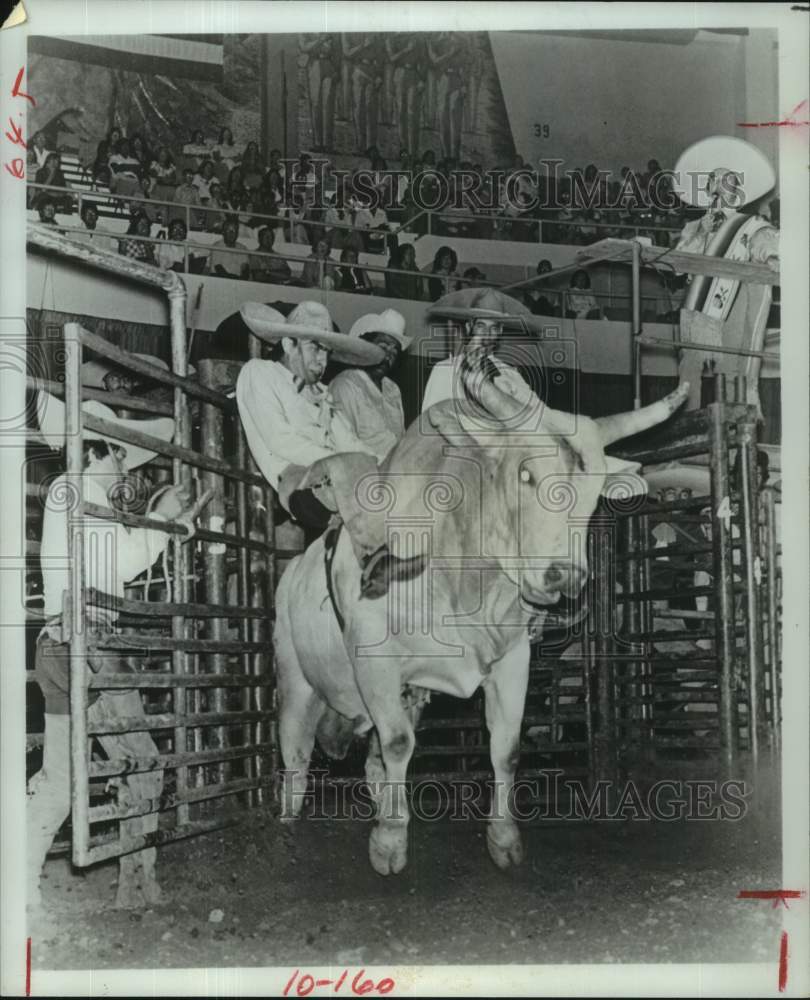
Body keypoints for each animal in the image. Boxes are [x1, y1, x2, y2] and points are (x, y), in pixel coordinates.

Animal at [274, 370, 688, 876]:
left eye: (594, 491)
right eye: (525, 474)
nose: (566, 576)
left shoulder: (512, 661)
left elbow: (505, 749)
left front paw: (503, 839)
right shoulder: (376, 663)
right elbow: (398, 744)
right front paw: (390, 844)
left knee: (369, 764)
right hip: (295, 683)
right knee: (296, 762)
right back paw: (292, 828)